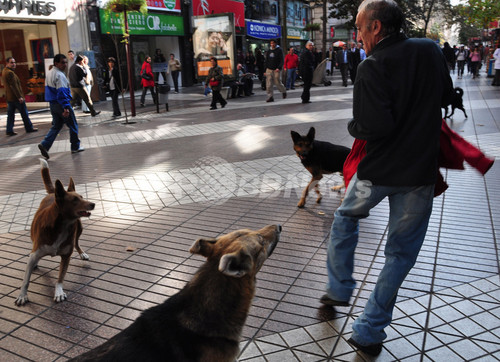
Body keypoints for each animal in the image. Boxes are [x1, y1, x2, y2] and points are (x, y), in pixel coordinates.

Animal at [15, 159, 94, 306]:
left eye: (82, 197)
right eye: (75, 200)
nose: (93, 204)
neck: (63, 225)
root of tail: (54, 192)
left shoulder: (66, 256)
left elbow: (60, 277)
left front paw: (59, 292)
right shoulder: (36, 252)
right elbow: (26, 279)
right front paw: (22, 295)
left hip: (79, 227)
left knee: (76, 242)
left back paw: (82, 253)